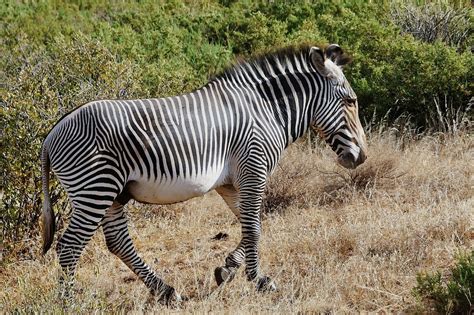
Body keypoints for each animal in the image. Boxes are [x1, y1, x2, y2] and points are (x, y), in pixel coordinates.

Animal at [40, 43, 366, 304]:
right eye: (350, 101)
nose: (361, 157)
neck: (265, 111)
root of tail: (51, 134)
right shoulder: (253, 169)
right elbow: (254, 228)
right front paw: (258, 280)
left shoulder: (230, 183)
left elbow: (253, 225)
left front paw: (227, 269)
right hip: (96, 188)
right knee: (70, 246)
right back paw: (69, 303)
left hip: (113, 193)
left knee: (118, 242)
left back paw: (166, 291)